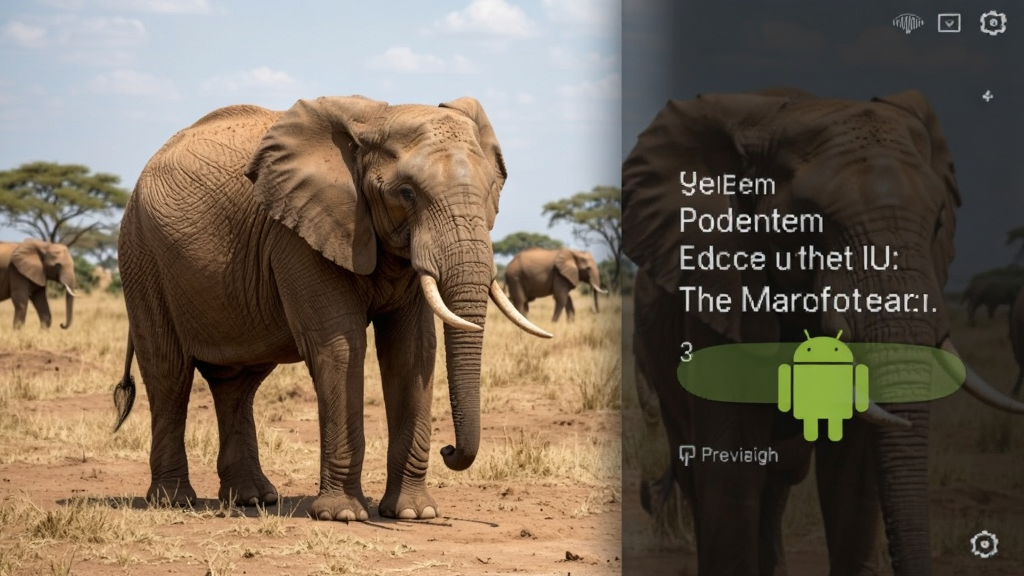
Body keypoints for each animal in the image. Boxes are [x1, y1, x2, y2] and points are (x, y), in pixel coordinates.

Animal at [111, 95, 552, 522]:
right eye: (407, 193)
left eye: (493, 189)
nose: (448, 450)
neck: (375, 121)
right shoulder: (298, 233)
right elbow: (340, 347)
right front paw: (343, 515)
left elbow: (412, 351)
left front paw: (414, 513)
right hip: (141, 254)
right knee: (168, 373)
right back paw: (173, 501)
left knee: (237, 383)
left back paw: (252, 499)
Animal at [622, 87, 1024, 575]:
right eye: (812, 222)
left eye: (937, 224)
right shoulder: (718, 291)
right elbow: (732, 467)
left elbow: (852, 476)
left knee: (779, 476)